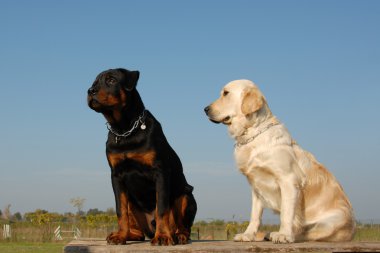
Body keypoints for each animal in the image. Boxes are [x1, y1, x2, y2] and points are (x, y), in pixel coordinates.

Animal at [87, 67, 197, 245]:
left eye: (111, 80)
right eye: (94, 82)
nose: (90, 91)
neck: (124, 129)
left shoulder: (160, 171)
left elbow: (162, 208)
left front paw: (162, 237)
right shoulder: (116, 176)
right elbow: (120, 210)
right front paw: (120, 236)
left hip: (186, 195)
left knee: (183, 225)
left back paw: (178, 236)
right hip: (132, 203)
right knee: (138, 232)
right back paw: (125, 235)